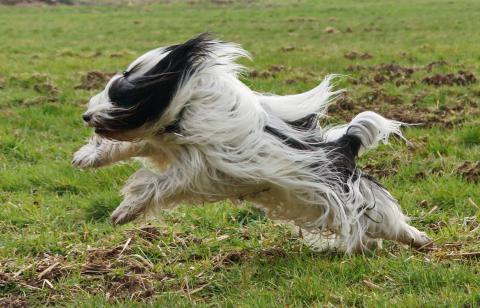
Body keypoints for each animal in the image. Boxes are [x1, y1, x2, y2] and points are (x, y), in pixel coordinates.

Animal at [73, 33, 434, 253]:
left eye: (121, 94)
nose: (87, 115)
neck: (187, 107)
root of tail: (345, 144)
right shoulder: (166, 142)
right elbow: (132, 145)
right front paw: (87, 157)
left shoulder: (200, 168)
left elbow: (154, 184)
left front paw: (125, 211)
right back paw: (371, 245)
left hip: (345, 193)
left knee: (383, 215)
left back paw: (418, 240)